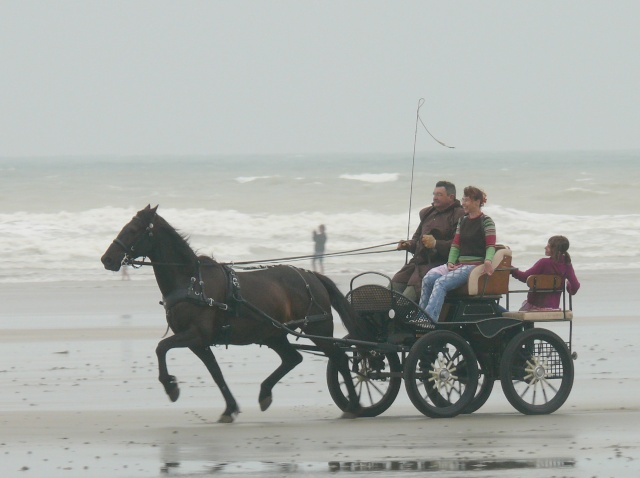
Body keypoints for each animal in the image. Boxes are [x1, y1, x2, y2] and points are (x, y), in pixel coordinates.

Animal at [97, 204, 372, 422]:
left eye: (133, 230)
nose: (107, 259)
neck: (192, 281)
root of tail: (311, 275)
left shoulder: (196, 335)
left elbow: (161, 347)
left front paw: (170, 386)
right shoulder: (199, 342)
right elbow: (215, 373)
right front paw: (229, 408)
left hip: (316, 328)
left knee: (339, 357)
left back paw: (354, 404)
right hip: (272, 333)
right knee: (293, 358)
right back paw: (265, 392)